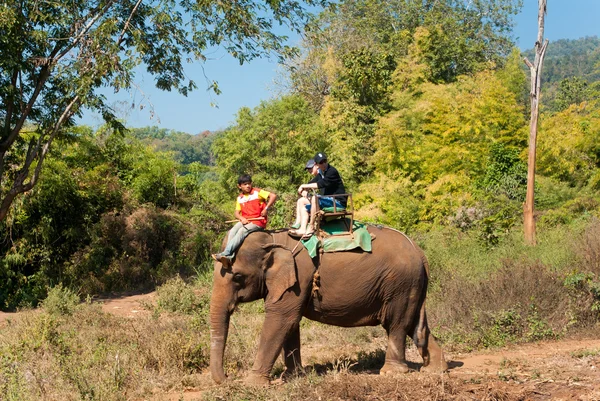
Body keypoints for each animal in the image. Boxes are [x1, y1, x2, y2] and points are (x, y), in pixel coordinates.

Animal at [209, 225, 448, 384]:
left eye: (238, 277)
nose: (228, 378)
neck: (272, 238)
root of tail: (419, 252)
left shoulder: (299, 277)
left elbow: (281, 318)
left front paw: (253, 384)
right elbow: (290, 322)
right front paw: (294, 376)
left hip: (399, 284)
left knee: (396, 324)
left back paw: (391, 372)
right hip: (411, 286)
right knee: (414, 324)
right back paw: (435, 370)